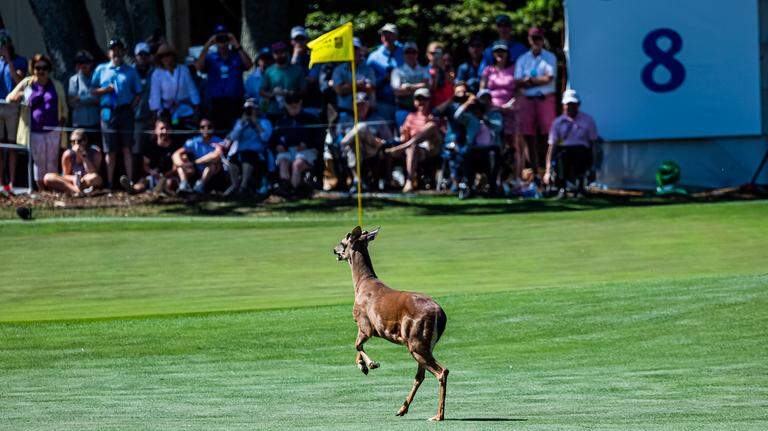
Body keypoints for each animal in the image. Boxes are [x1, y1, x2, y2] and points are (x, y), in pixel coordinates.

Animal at [333, 226, 449, 421]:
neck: (361, 285)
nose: (334, 250)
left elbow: (357, 345)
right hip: (424, 344)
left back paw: (438, 415)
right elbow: (357, 346)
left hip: (416, 341)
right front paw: (363, 366)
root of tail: (440, 315)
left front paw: (370, 364)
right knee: (421, 375)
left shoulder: (365, 324)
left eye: (343, 241)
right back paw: (402, 409)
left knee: (441, 371)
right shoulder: (365, 328)